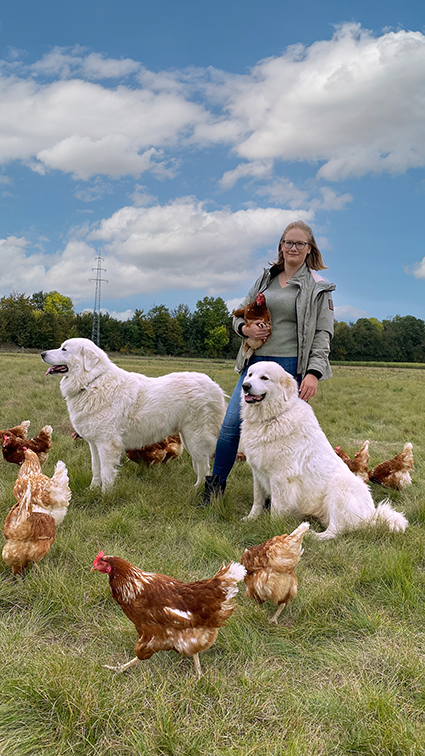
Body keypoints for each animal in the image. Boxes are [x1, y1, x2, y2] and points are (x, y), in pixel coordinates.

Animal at [42, 338, 225, 490]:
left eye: (64, 349)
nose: (42, 353)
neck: (91, 382)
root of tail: (215, 386)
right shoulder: (94, 444)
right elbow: (96, 469)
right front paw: (92, 490)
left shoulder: (107, 444)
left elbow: (106, 473)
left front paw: (105, 495)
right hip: (188, 439)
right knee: (200, 465)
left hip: (196, 438)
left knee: (204, 467)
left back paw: (197, 490)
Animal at [240, 360, 406, 536]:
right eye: (250, 374)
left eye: (264, 378)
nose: (245, 386)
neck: (272, 418)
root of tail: (372, 515)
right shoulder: (258, 473)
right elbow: (257, 500)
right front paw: (250, 519)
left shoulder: (280, 478)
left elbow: (277, 508)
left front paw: (274, 530)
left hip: (339, 489)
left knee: (334, 531)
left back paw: (312, 535)